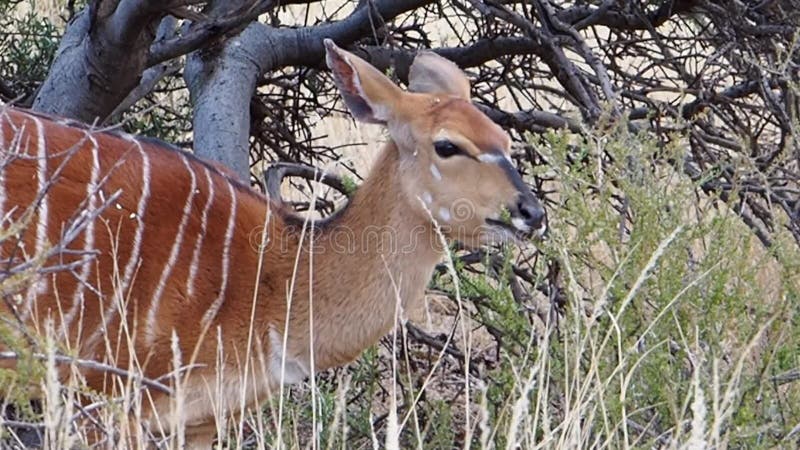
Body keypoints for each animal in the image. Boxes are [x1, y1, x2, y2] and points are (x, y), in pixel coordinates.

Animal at [0, 41, 544, 446]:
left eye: (504, 140)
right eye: (448, 145)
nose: (532, 213)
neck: (270, 276)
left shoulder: (201, 420)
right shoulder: (102, 399)